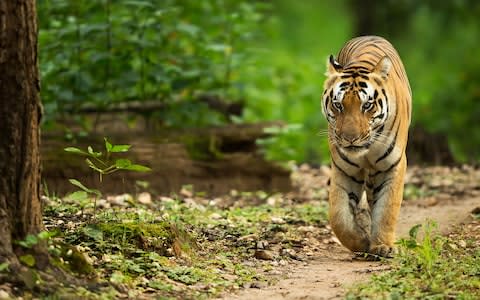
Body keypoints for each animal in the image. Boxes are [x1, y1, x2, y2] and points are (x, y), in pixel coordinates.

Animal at [320, 34, 410, 255]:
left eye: (367, 105)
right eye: (338, 105)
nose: (350, 138)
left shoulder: (393, 166)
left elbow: (387, 208)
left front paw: (383, 246)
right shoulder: (344, 170)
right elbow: (339, 217)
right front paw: (361, 241)